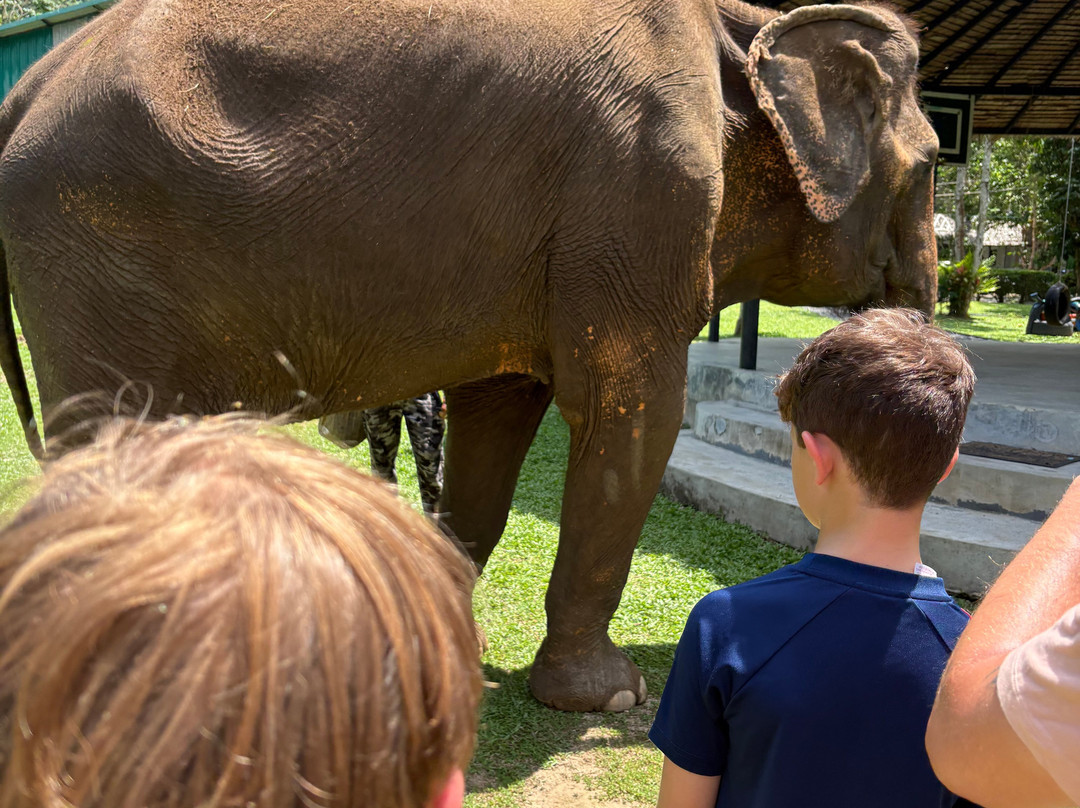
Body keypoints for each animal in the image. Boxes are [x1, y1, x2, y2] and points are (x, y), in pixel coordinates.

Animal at [0, 0, 938, 711]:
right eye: (933, 164)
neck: (747, 24)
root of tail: (31, 82)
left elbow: (498, 413)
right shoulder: (638, 200)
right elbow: (630, 412)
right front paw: (610, 699)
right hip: (92, 256)